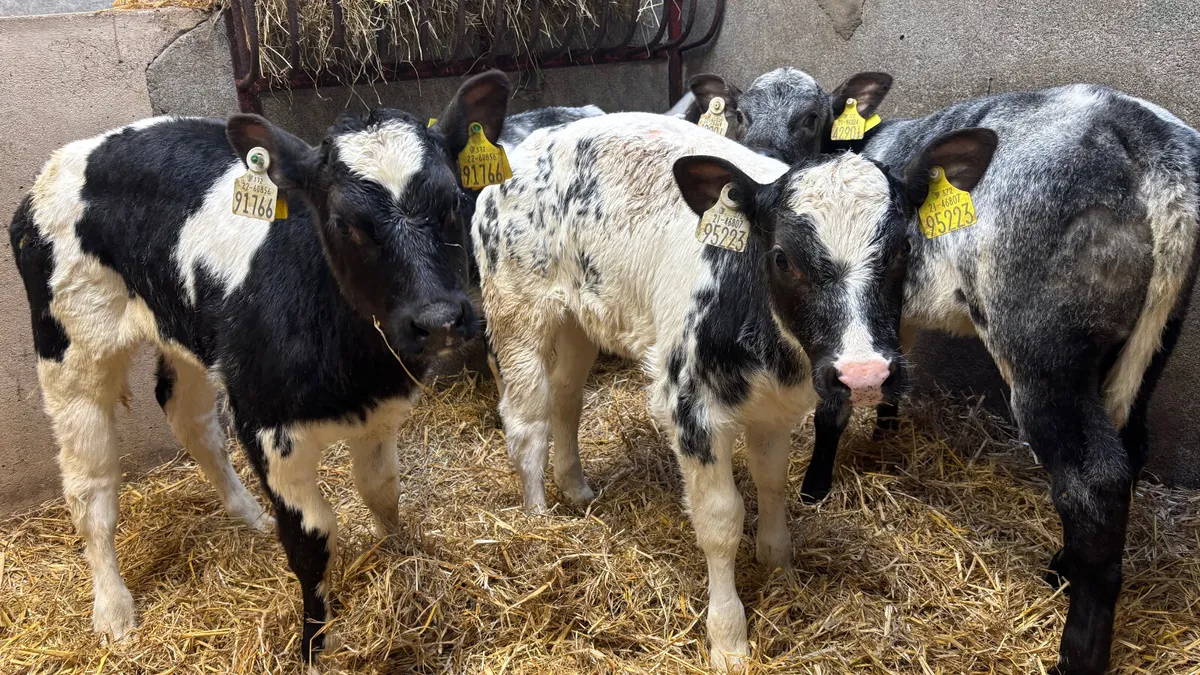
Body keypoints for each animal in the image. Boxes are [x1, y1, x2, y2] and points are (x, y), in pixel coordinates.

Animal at [9, 70, 512, 666]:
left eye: (453, 200)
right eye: (343, 223)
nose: (438, 321)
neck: (356, 368)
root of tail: (55, 167)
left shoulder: (379, 412)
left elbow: (382, 491)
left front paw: (403, 559)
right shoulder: (267, 425)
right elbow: (313, 538)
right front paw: (315, 644)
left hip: (188, 333)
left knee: (188, 416)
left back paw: (250, 515)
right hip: (72, 351)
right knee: (90, 486)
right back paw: (113, 610)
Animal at [471, 111, 997, 669]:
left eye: (903, 249)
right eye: (783, 258)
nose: (863, 375)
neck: (770, 346)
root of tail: (531, 145)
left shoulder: (778, 409)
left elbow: (772, 484)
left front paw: (780, 568)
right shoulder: (689, 408)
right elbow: (721, 521)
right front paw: (728, 638)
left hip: (580, 317)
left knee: (568, 397)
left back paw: (575, 487)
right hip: (517, 310)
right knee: (527, 421)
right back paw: (538, 520)